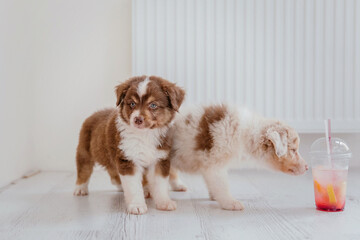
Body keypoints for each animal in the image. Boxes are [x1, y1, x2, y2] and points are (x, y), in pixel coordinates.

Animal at [74, 75, 184, 214]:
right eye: (132, 104)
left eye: (153, 105)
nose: (137, 119)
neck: (145, 135)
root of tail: (95, 113)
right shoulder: (128, 159)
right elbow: (133, 186)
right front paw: (137, 205)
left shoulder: (160, 159)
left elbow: (160, 184)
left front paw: (164, 203)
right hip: (84, 150)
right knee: (84, 169)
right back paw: (80, 189)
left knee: (113, 173)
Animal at [170, 104, 308, 211]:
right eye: (293, 150)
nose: (307, 167)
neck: (244, 133)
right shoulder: (214, 164)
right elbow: (221, 185)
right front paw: (230, 202)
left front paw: (214, 196)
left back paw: (178, 186)